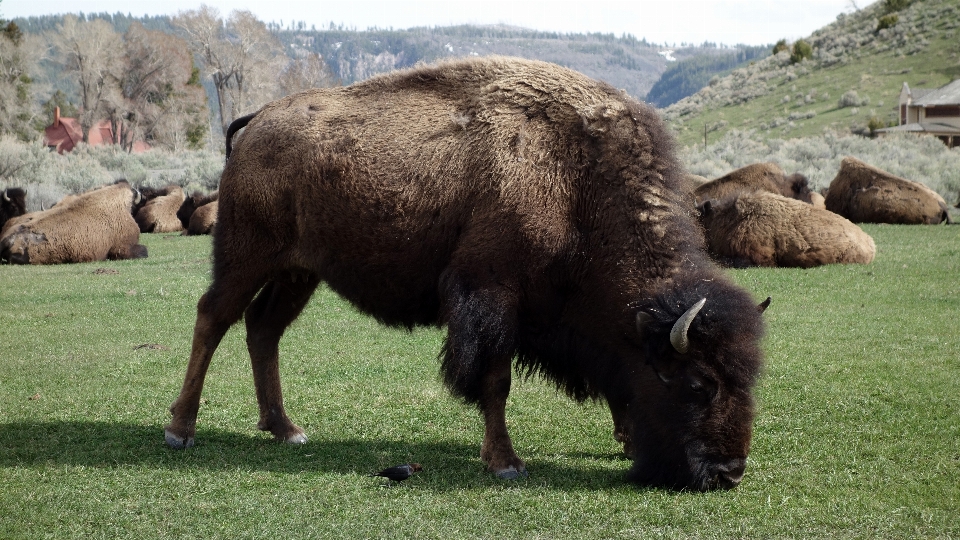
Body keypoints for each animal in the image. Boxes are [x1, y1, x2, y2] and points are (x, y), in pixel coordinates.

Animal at [165, 57, 764, 492]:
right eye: (697, 384)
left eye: (748, 379)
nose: (728, 473)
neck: (576, 182)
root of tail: (258, 120)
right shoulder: (491, 296)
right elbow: (495, 380)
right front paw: (505, 463)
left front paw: (623, 438)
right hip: (247, 256)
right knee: (213, 317)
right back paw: (180, 430)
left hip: (298, 272)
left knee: (263, 328)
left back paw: (285, 429)